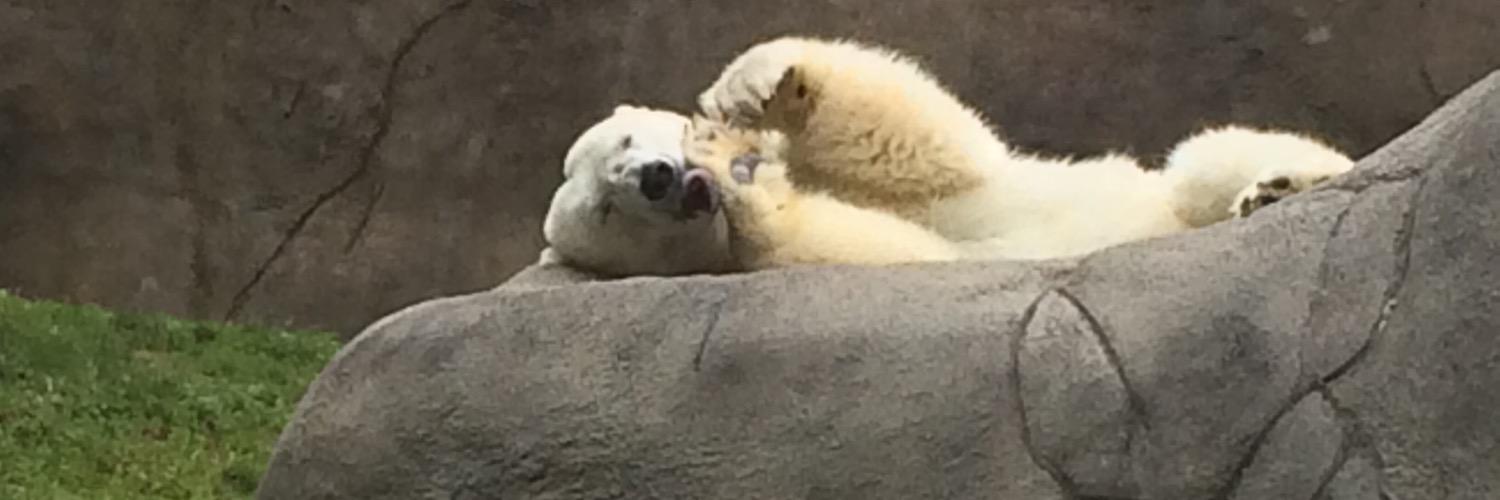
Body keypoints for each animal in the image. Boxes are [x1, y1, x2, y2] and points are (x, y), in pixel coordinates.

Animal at [541, 36, 1356, 276]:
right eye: (608, 209)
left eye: (624, 143)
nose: (658, 178)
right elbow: (897, 248)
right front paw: (746, 184)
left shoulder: (944, 182)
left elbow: (929, 150)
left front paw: (755, 89)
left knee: (1200, 163)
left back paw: (1282, 185)